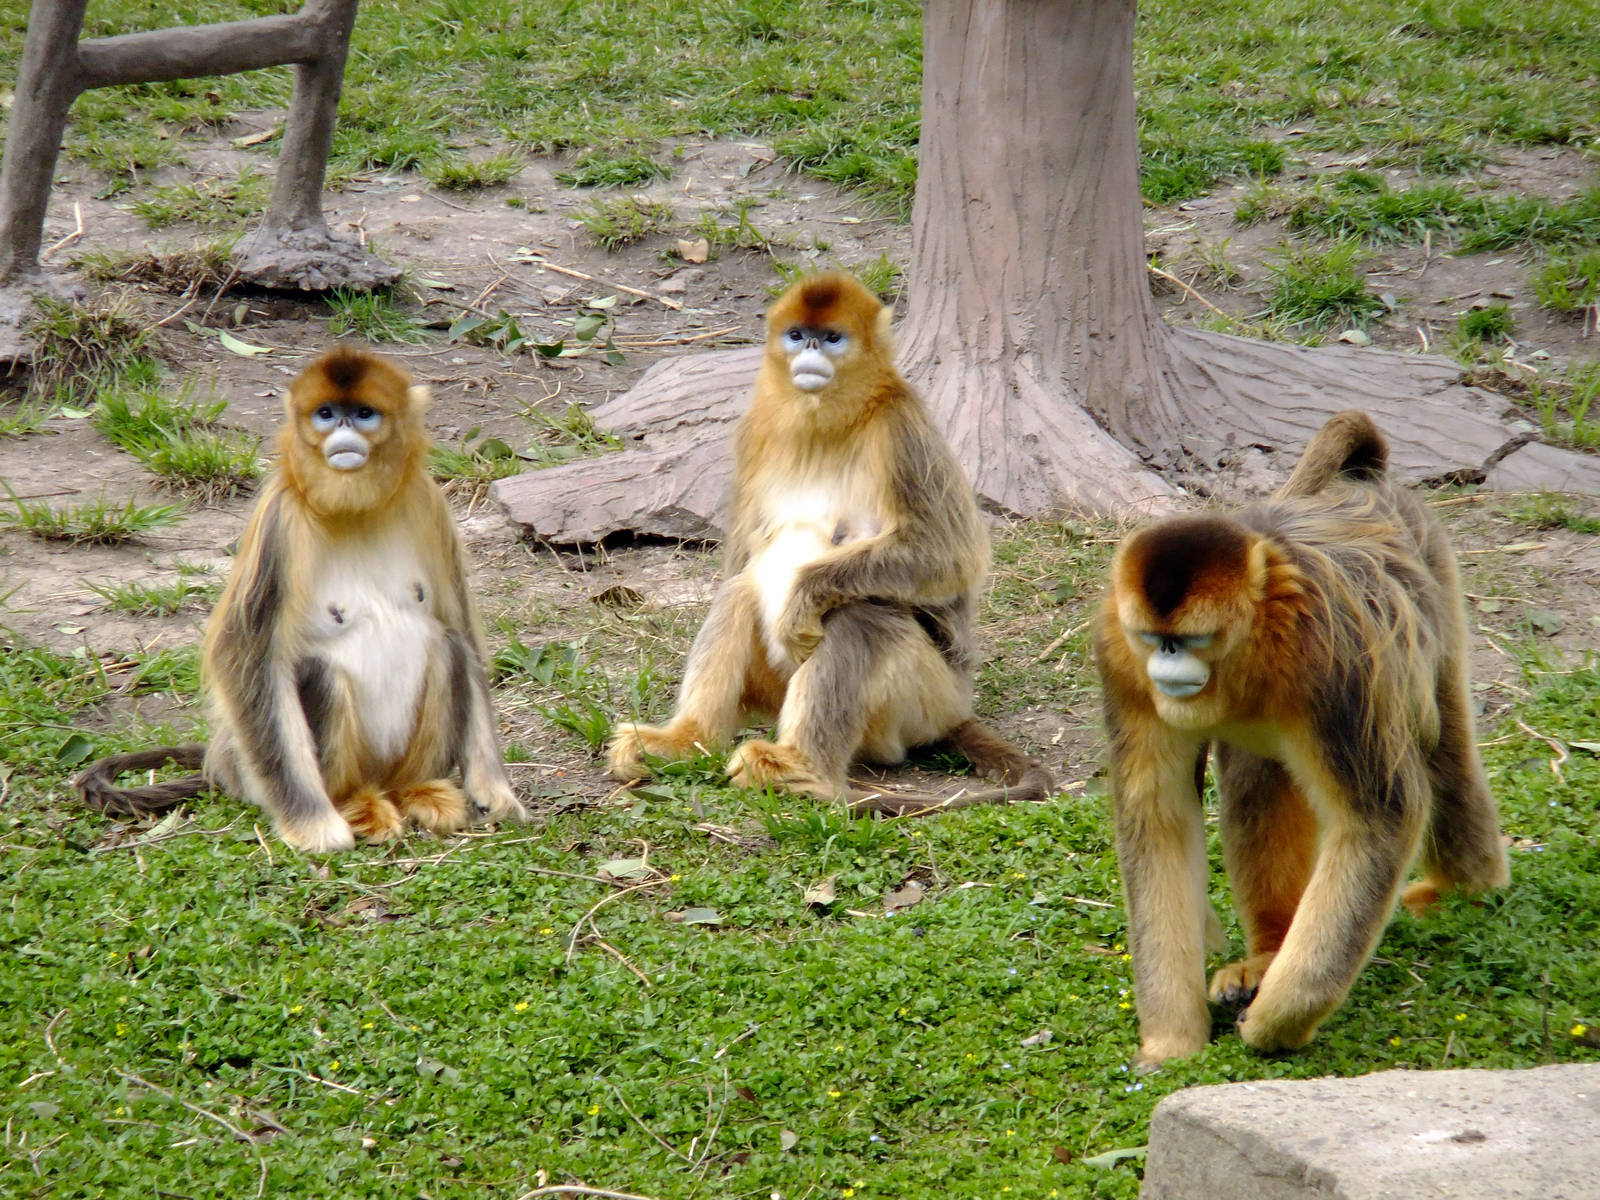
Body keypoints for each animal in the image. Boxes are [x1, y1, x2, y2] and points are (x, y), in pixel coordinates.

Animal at [76, 347, 527, 851]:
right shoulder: (280, 521)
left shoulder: (429, 503)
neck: (355, 510)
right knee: (320, 672)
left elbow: (463, 633)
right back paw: (353, 803)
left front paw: (493, 789)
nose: (344, 431)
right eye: (326, 414)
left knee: (448, 647)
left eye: (364, 414)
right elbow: (247, 662)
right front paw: (313, 825)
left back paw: (417, 789)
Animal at [606, 271, 1051, 814]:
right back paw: (686, 740)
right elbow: (740, 563)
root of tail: (956, 711)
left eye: (833, 338)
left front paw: (802, 598)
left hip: (925, 701)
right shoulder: (755, 433)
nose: (811, 351)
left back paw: (802, 769)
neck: (827, 423)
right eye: (797, 335)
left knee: (859, 613)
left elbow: (951, 555)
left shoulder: (902, 429)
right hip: (781, 686)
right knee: (740, 591)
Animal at [1094, 410, 1507, 1067]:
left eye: (1188, 640)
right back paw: (1267, 955)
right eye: (1154, 638)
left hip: (1429, 572)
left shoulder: (1336, 662)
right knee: (1256, 774)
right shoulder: (1119, 656)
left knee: (1440, 741)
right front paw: (1171, 1041)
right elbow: (1157, 822)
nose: (1166, 662)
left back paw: (1468, 888)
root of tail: (1363, 485)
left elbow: (1378, 820)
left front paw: (1277, 1023)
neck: (1256, 642)